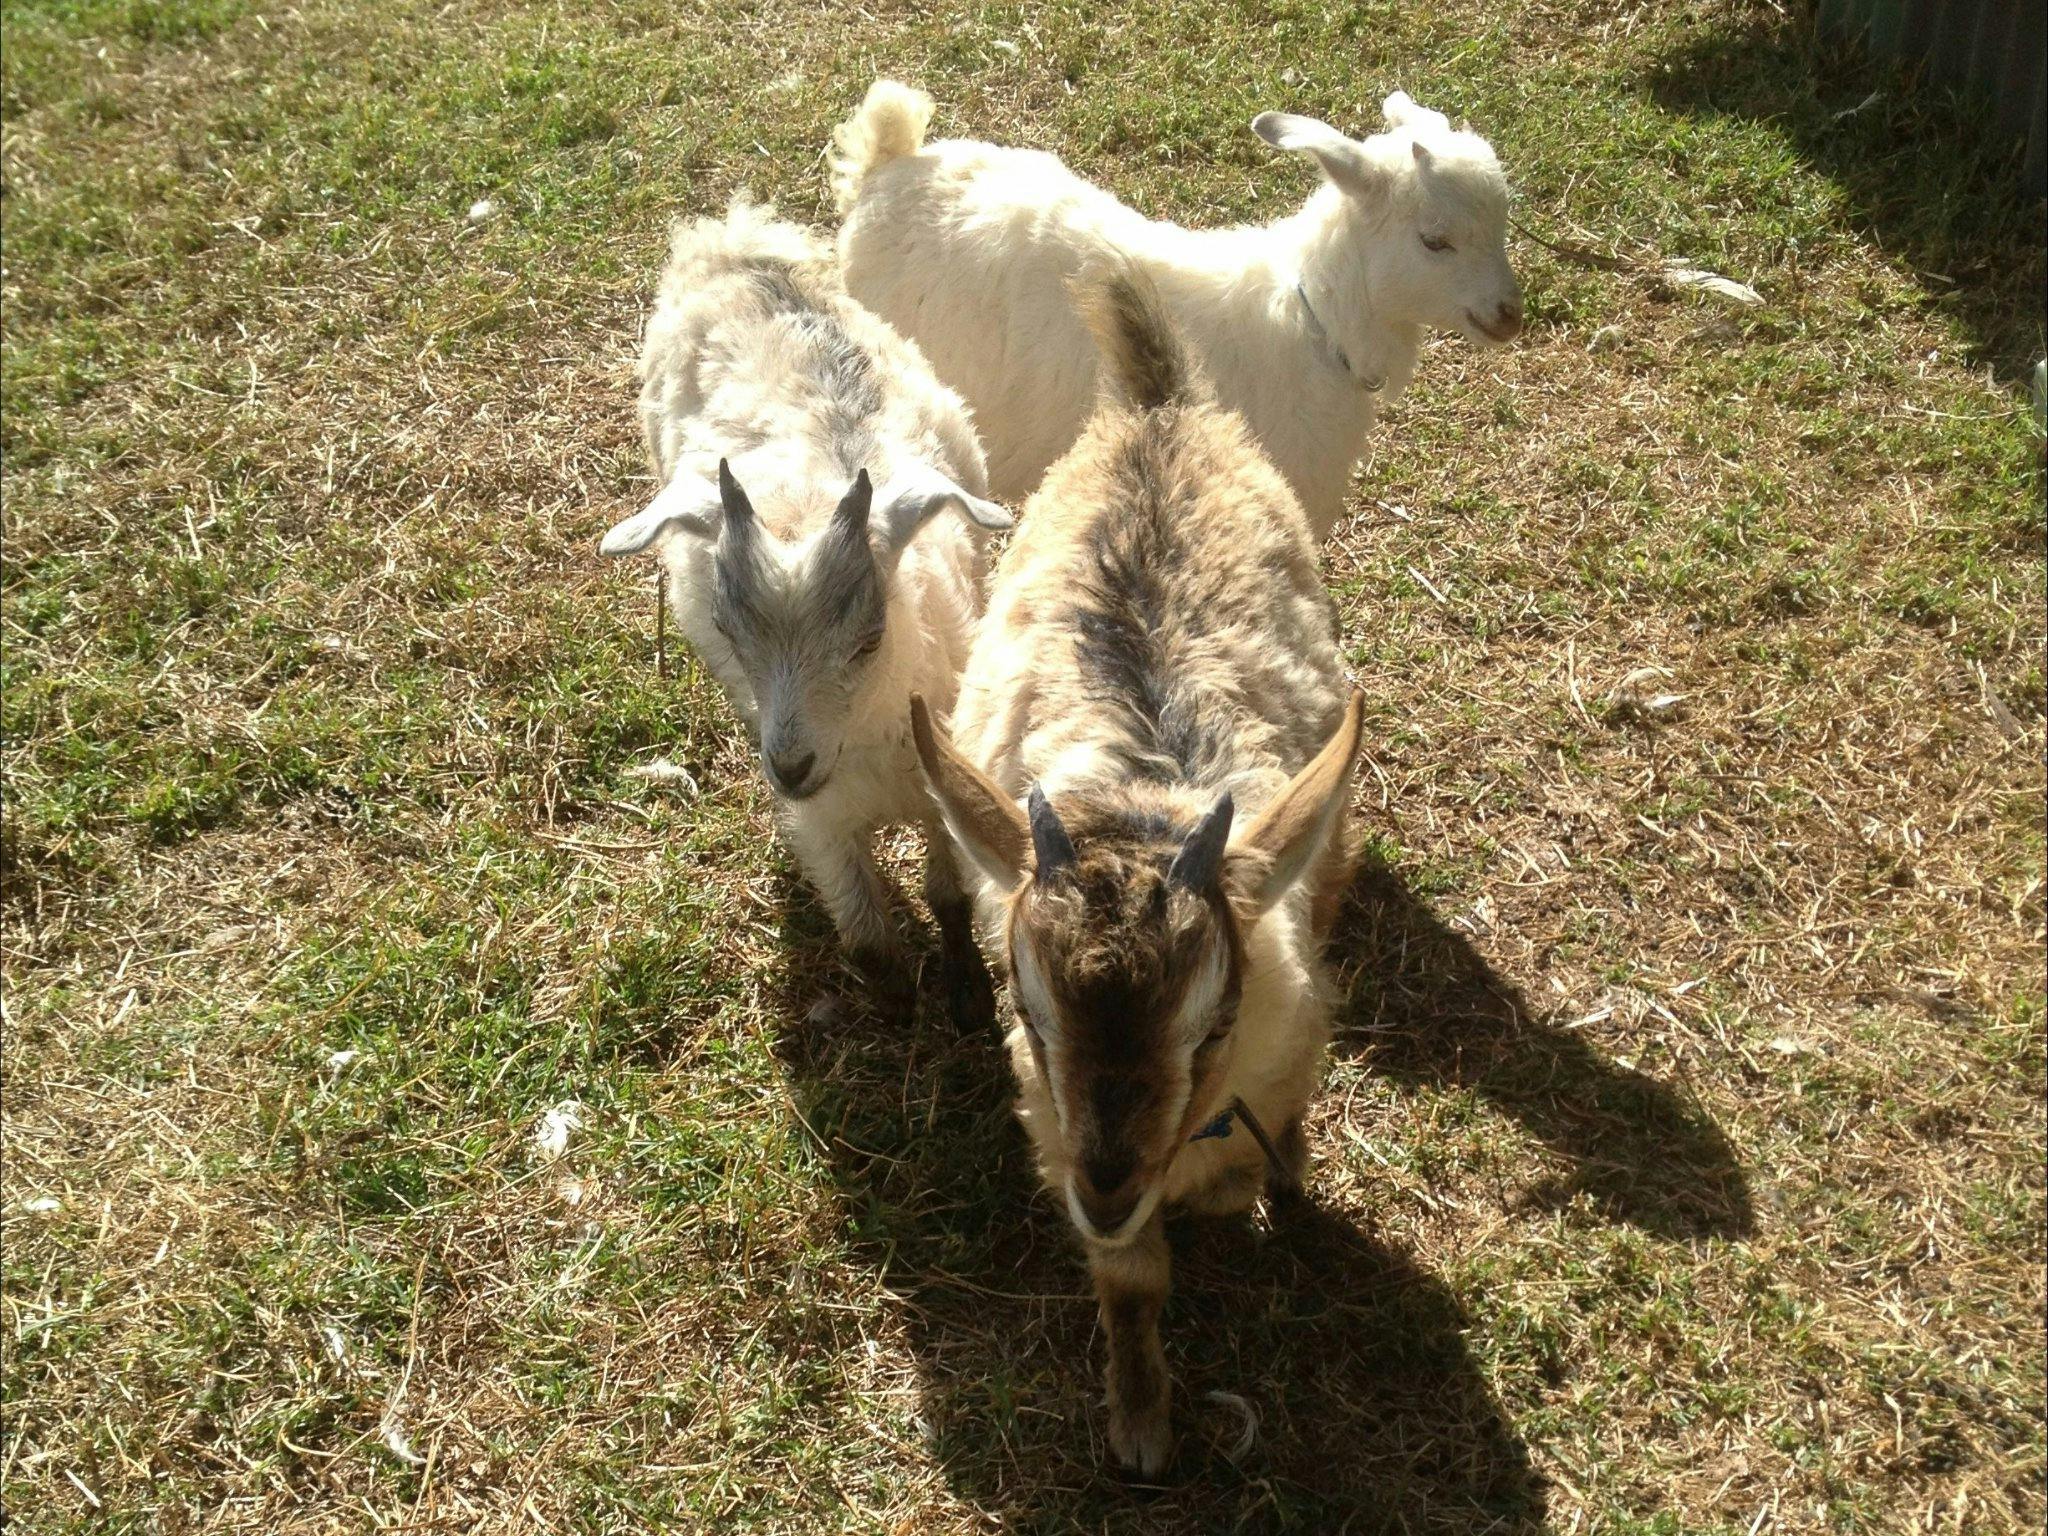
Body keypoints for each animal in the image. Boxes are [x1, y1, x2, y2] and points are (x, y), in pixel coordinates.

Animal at [601, 198, 1011, 1024]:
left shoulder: (945, 782)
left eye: (870, 636)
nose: (790, 767)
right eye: (729, 631)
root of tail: (728, 238)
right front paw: (896, 1009)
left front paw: (967, 996)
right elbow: (867, 938)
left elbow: (950, 898)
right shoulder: (820, 823)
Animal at [909, 268, 1366, 1474]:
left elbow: (1271, 1148)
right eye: (1025, 1009)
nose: (1108, 1187)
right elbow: (1131, 1284)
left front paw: (1271, 1186)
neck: (1141, 797)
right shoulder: (1055, 1126)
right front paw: (1141, 1420)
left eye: (1211, 1024)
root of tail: (1159, 410)